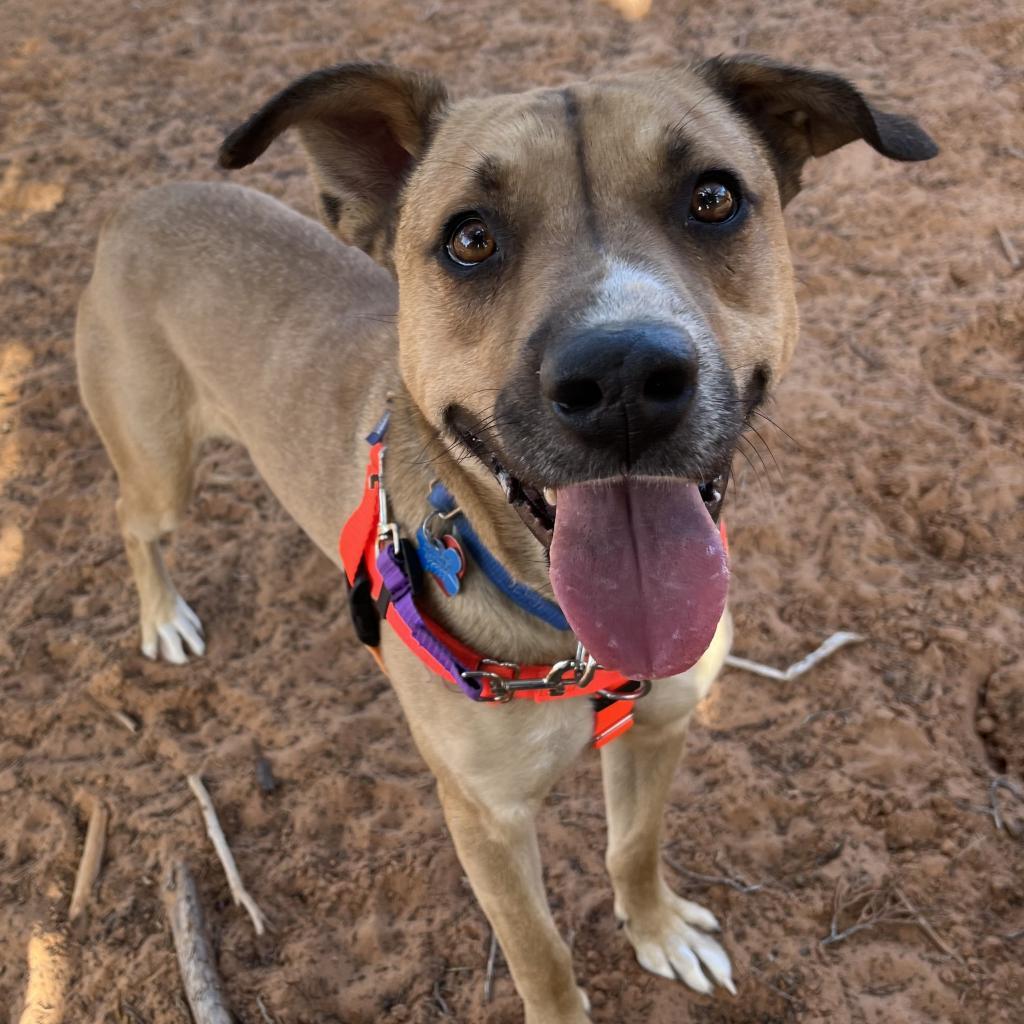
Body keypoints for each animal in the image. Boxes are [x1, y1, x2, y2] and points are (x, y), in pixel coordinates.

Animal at [74, 58, 937, 1024]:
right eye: (471, 238)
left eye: (713, 197)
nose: (624, 376)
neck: (568, 639)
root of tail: (139, 203)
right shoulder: (484, 818)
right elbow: (539, 954)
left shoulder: (661, 728)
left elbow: (633, 848)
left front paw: (657, 931)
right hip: (160, 466)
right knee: (131, 522)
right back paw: (163, 616)